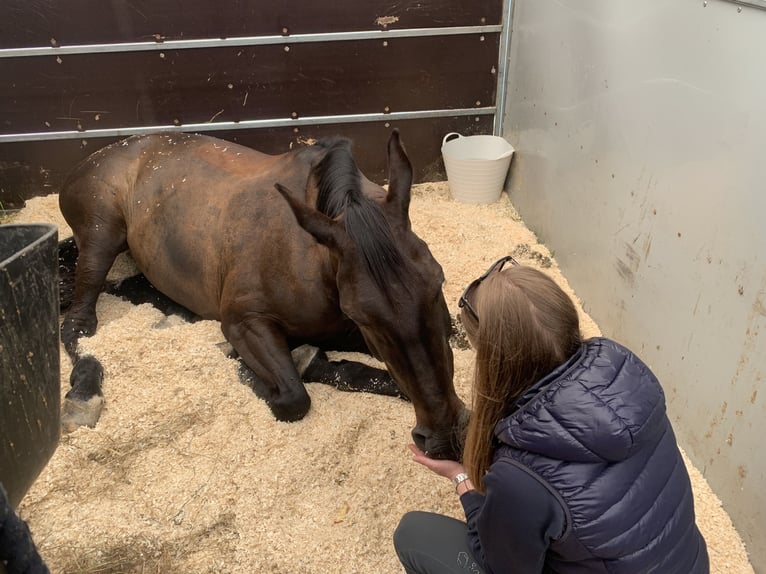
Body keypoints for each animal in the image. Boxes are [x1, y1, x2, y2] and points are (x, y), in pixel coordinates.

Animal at [58, 129, 468, 460]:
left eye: (438, 282)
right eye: (360, 312)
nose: (444, 437)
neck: (312, 257)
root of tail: (96, 155)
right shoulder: (244, 322)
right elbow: (292, 397)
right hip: (101, 236)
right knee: (78, 324)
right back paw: (82, 397)